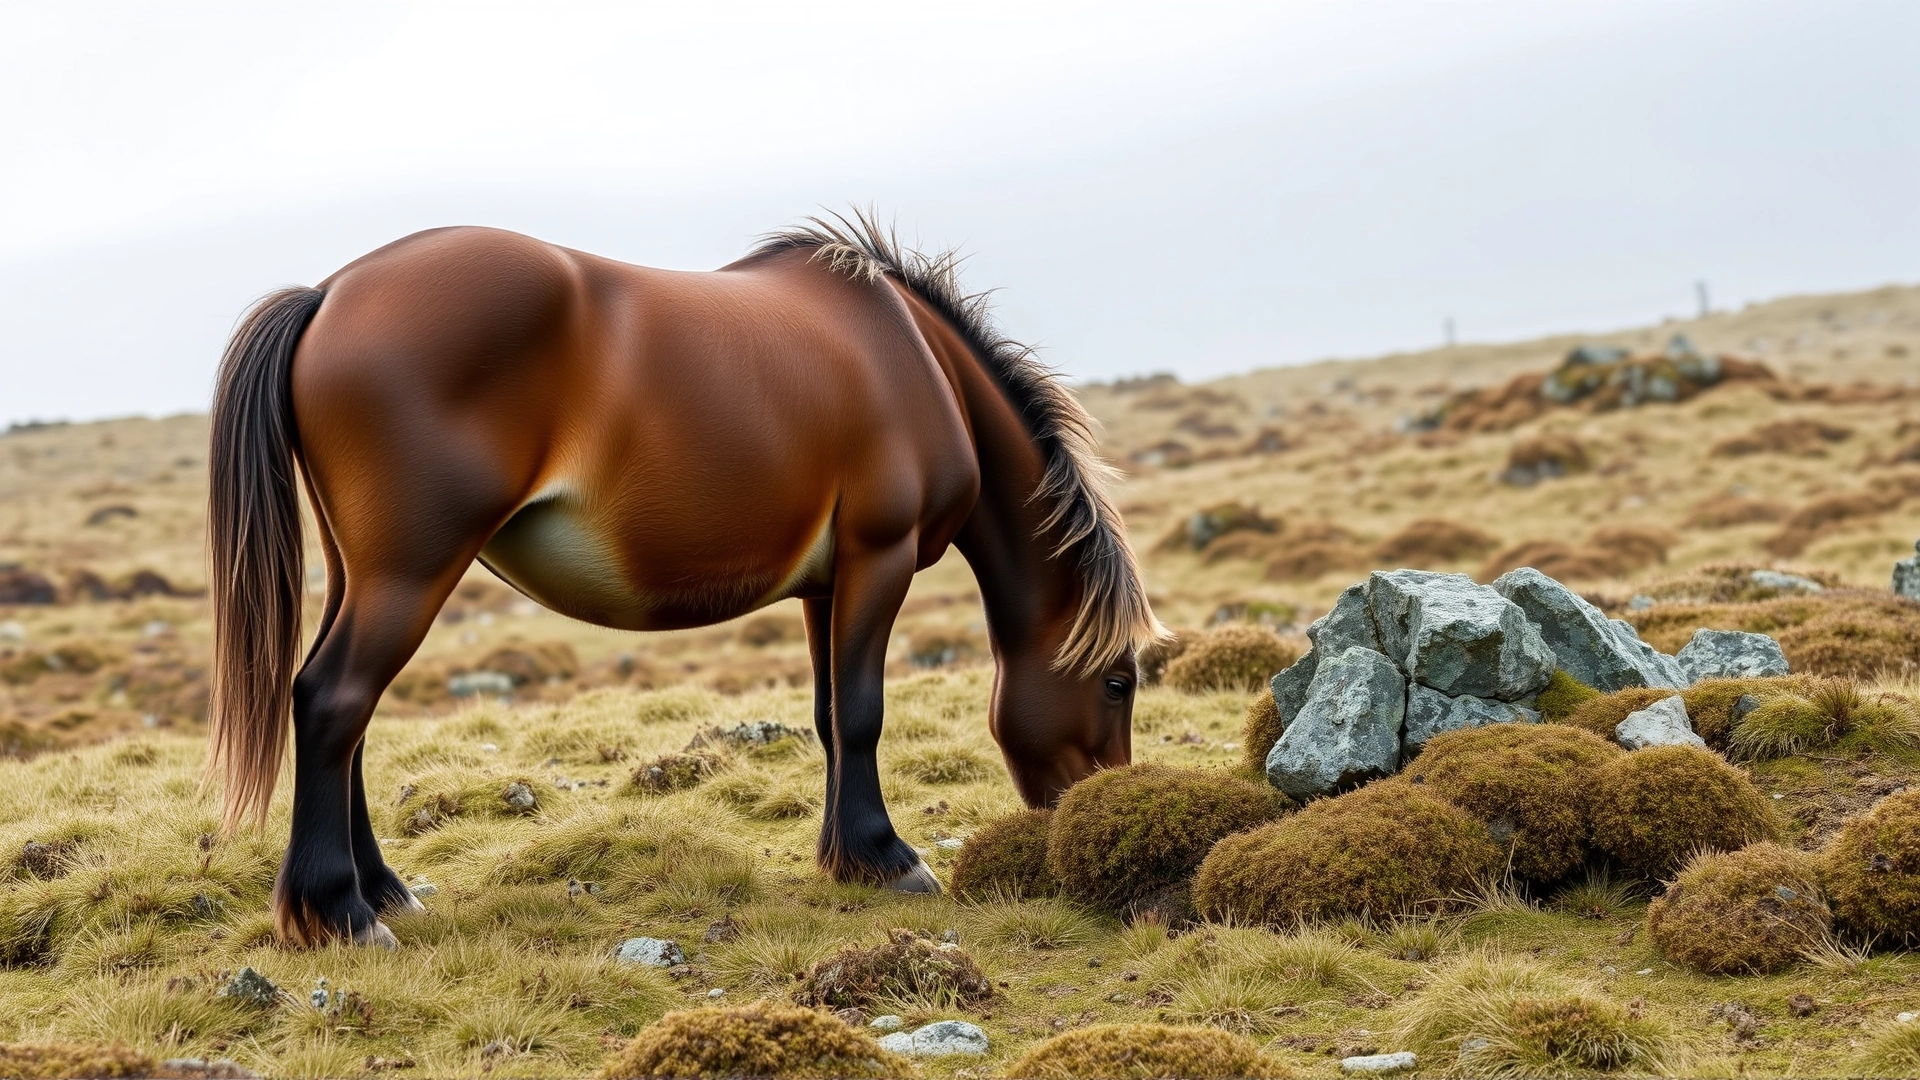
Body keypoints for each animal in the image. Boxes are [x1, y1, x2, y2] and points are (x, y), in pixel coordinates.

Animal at [206, 214, 1163, 947]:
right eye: (1119, 683)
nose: (1086, 820)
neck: (917, 358)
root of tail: (328, 294)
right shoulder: (878, 557)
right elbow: (863, 713)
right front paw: (889, 858)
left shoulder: (827, 584)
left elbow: (830, 716)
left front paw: (846, 856)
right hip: (410, 572)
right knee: (332, 701)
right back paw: (341, 913)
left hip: (360, 573)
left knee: (347, 719)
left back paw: (382, 890)